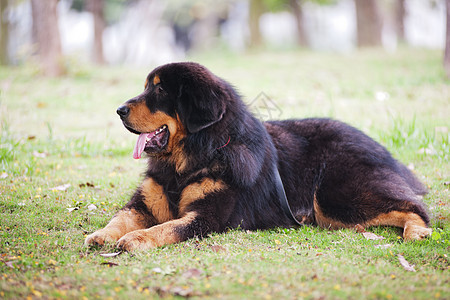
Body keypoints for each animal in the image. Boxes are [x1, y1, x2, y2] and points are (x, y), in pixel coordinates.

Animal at [85, 61, 432, 251]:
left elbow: (164, 228)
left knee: (415, 207)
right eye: (146, 88)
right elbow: (120, 218)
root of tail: (378, 146)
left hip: (335, 197)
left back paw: (418, 231)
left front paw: (136, 239)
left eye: (159, 91)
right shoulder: (143, 204)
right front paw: (101, 235)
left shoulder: (207, 216)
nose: (119, 110)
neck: (193, 158)